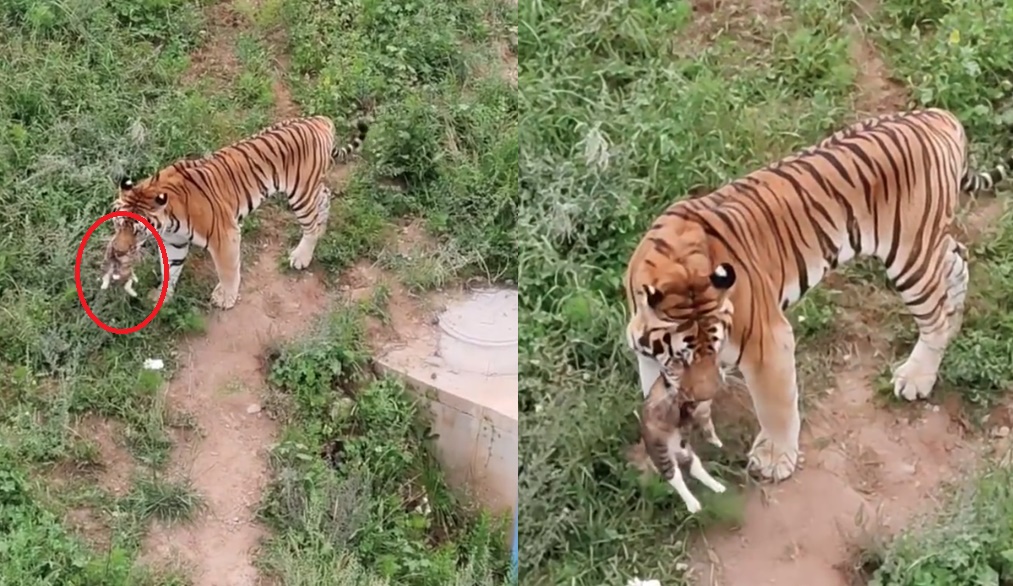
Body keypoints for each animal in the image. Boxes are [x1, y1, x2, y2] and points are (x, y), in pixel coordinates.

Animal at [107, 115, 370, 309]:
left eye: (138, 231)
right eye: (118, 224)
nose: (117, 252)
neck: (168, 219)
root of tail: (321, 120)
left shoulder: (224, 235)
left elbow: (228, 271)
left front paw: (226, 298)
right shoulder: (175, 242)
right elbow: (170, 269)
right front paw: (162, 296)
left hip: (301, 193)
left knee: (311, 224)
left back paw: (301, 256)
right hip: (310, 188)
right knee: (324, 196)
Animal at [624, 108, 1012, 483]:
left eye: (713, 349)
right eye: (682, 358)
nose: (706, 395)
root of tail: (939, 115)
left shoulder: (767, 341)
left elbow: (775, 405)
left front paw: (774, 459)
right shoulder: (649, 354)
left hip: (911, 255)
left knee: (935, 317)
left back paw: (917, 376)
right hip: (928, 245)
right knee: (956, 260)